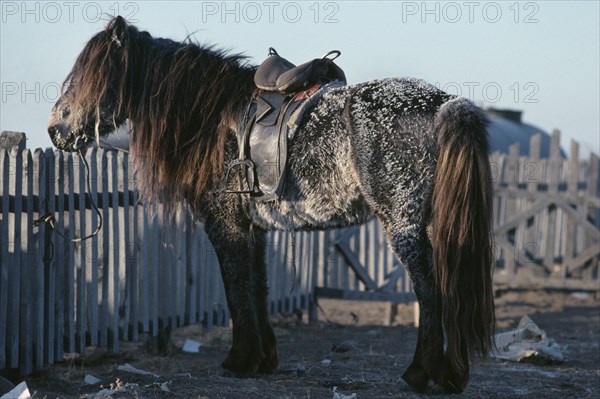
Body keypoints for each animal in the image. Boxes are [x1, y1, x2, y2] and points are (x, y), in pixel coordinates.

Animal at [47, 16, 494, 394]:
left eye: (90, 75)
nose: (56, 128)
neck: (212, 119)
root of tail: (445, 105)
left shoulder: (225, 225)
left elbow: (235, 287)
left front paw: (239, 359)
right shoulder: (254, 228)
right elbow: (257, 286)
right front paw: (263, 359)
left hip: (403, 224)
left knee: (431, 293)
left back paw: (421, 373)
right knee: (450, 289)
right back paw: (452, 375)